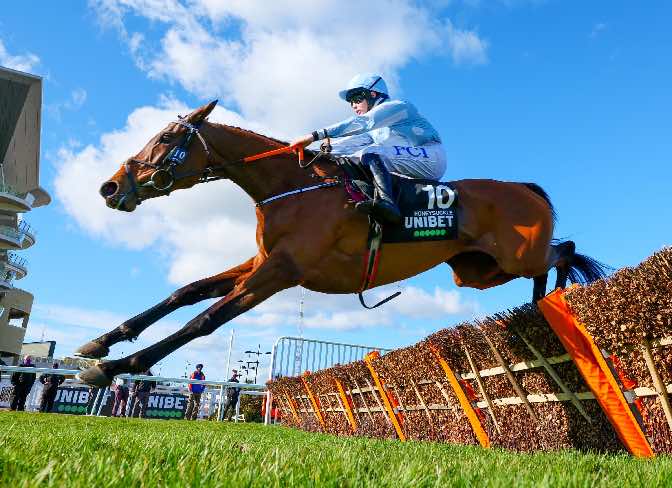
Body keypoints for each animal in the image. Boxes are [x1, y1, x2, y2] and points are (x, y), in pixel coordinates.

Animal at [75, 101, 608, 386]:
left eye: (166, 138)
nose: (109, 187)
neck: (288, 184)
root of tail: (526, 188)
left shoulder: (281, 271)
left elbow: (205, 319)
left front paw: (118, 365)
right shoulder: (262, 260)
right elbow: (186, 291)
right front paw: (101, 342)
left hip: (516, 255)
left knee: (564, 251)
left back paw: (555, 299)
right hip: (475, 270)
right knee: (549, 261)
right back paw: (539, 307)